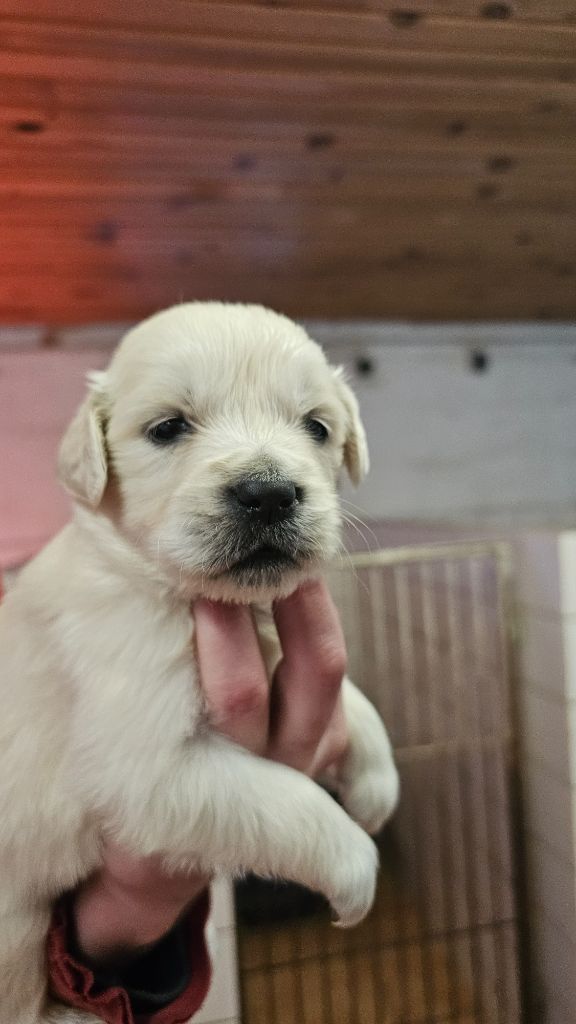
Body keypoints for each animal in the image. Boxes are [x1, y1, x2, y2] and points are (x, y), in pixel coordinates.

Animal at [0, 303, 399, 1022]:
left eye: (317, 426)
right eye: (168, 428)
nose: (268, 494)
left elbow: (349, 696)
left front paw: (376, 779)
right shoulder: (149, 770)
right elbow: (282, 799)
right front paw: (356, 865)